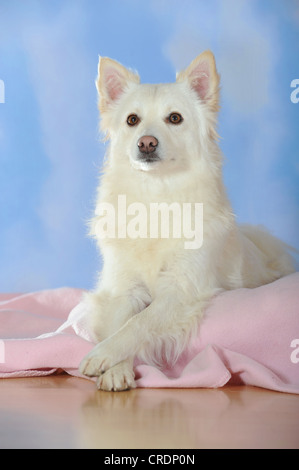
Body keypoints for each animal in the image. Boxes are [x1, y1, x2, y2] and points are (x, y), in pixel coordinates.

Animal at [79, 50, 296, 392]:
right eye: (132, 120)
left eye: (175, 118)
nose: (146, 143)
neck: (156, 196)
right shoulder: (123, 289)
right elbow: (121, 322)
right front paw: (116, 368)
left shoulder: (181, 290)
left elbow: (139, 323)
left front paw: (103, 356)